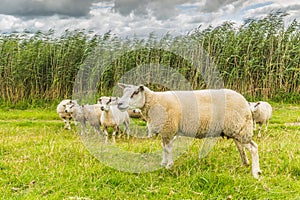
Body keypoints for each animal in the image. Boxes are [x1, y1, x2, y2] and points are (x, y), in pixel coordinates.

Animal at [116, 83, 262, 179]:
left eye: (134, 93)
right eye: (123, 93)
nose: (119, 104)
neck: (154, 101)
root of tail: (245, 102)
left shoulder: (169, 128)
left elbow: (168, 149)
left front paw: (168, 166)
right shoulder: (165, 131)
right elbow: (164, 148)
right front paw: (163, 163)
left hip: (241, 127)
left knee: (254, 148)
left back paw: (256, 172)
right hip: (237, 129)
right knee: (241, 147)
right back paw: (244, 164)